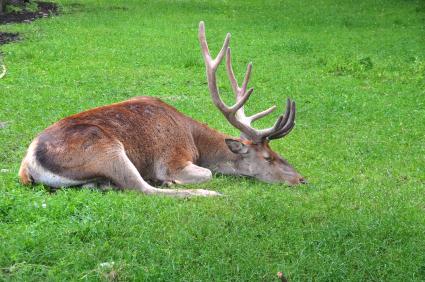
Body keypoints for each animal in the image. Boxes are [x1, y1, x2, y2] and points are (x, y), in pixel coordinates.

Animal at [18, 22, 304, 197]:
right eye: (268, 158)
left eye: (277, 153)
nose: (302, 179)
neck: (195, 142)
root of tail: (27, 164)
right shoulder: (171, 159)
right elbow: (208, 173)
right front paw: (174, 180)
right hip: (107, 150)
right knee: (144, 189)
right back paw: (206, 193)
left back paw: (103, 185)